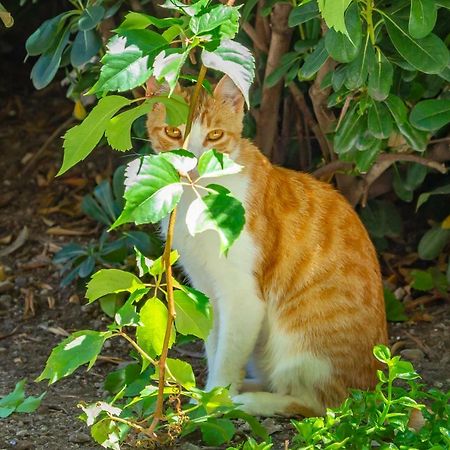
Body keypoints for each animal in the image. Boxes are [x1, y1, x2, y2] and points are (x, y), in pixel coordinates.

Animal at [146, 75, 388, 416]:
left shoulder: (242, 296)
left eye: (214, 136)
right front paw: (208, 395)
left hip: (302, 348)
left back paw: (247, 401)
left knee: (317, 404)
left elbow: (227, 357)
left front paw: (214, 401)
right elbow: (215, 345)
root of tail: (373, 389)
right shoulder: (208, 290)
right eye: (172, 133)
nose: (192, 165)